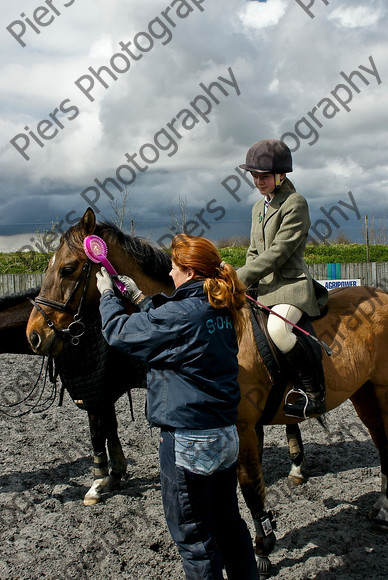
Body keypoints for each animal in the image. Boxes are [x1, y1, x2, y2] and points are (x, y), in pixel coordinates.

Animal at [25, 208, 388, 576]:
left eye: (68, 268)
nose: (35, 335)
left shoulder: (242, 426)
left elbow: (250, 486)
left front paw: (262, 549)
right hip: (365, 395)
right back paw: (379, 511)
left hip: (382, 393)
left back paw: (383, 513)